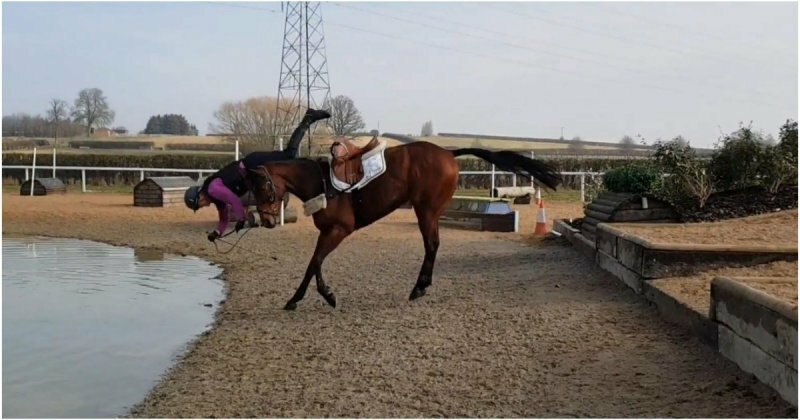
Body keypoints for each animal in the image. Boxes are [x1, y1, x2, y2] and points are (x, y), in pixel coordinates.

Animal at [245, 141, 564, 308]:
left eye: (262, 187)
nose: (268, 220)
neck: (320, 182)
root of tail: (448, 152)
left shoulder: (339, 230)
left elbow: (314, 262)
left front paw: (299, 299)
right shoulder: (328, 231)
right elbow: (316, 262)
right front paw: (324, 294)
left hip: (426, 210)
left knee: (432, 245)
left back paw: (419, 287)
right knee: (432, 245)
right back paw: (421, 286)